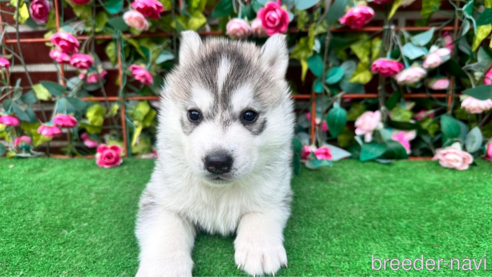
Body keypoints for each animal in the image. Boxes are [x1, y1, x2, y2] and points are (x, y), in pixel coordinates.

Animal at [135, 30, 294, 276]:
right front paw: (165, 268)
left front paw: (259, 247)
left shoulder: (276, 191)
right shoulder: (161, 198)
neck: (219, 193)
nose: (217, 161)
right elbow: (165, 229)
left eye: (249, 115)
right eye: (194, 114)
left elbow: (262, 210)